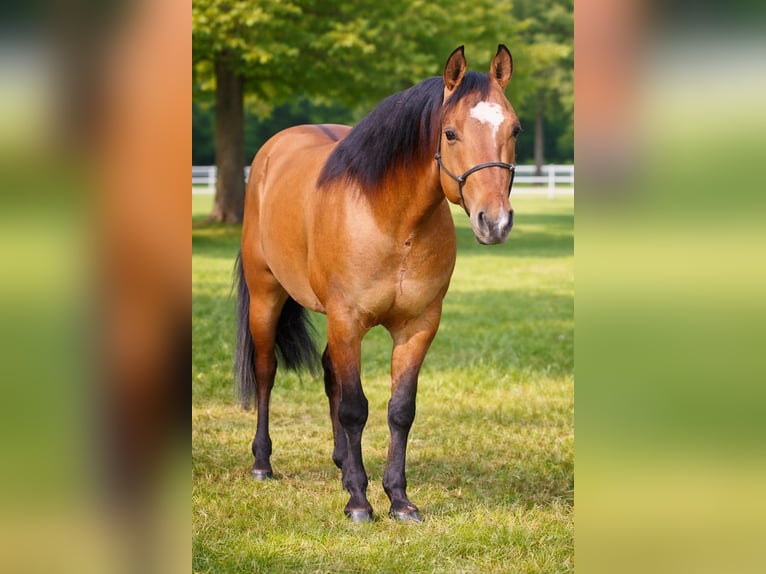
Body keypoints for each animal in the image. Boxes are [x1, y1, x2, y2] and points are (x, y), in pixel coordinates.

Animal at [234, 45, 521, 522]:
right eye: (450, 133)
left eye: (514, 128)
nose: (494, 222)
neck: (392, 222)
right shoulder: (347, 319)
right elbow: (355, 408)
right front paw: (359, 501)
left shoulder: (418, 326)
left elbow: (399, 410)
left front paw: (398, 499)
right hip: (266, 297)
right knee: (266, 371)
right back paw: (262, 463)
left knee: (330, 371)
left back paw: (340, 463)